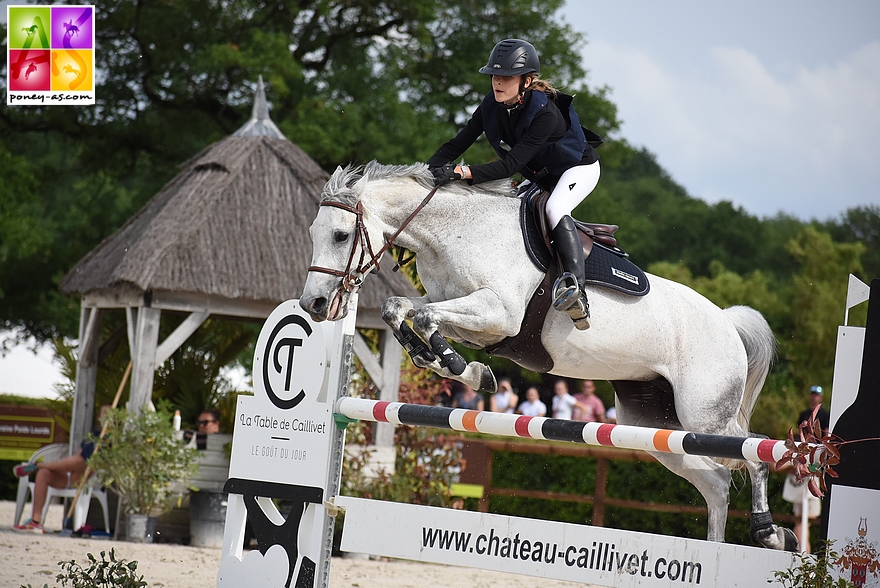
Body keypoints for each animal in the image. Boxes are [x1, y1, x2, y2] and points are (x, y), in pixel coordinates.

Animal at [300, 158, 796, 548]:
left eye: (341, 235)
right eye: (313, 233)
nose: (315, 305)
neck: (456, 232)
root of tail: (727, 322)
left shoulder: (498, 314)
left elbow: (421, 318)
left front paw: (461, 368)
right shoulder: (470, 317)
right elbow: (399, 309)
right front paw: (457, 368)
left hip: (704, 416)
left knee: (754, 451)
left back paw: (770, 532)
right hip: (654, 425)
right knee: (716, 483)